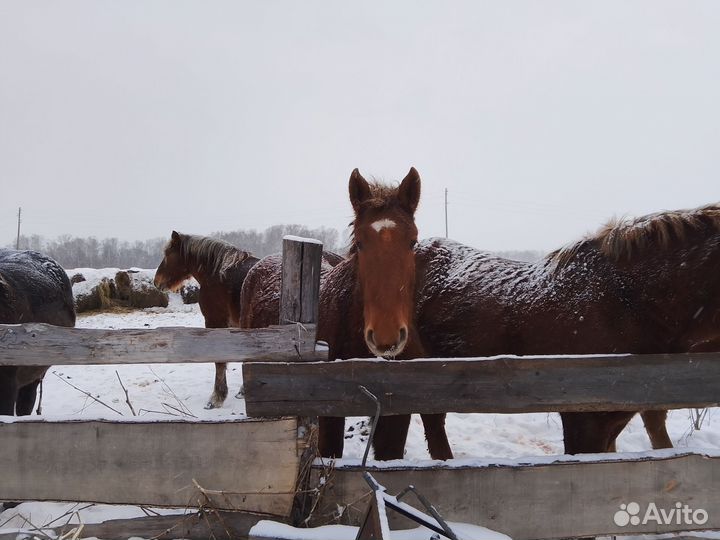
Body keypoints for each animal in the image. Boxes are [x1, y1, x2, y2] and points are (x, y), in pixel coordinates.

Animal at [153, 231, 260, 410]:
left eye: (167, 254)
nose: (156, 282)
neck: (218, 274)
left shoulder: (215, 322)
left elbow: (219, 360)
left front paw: (217, 397)